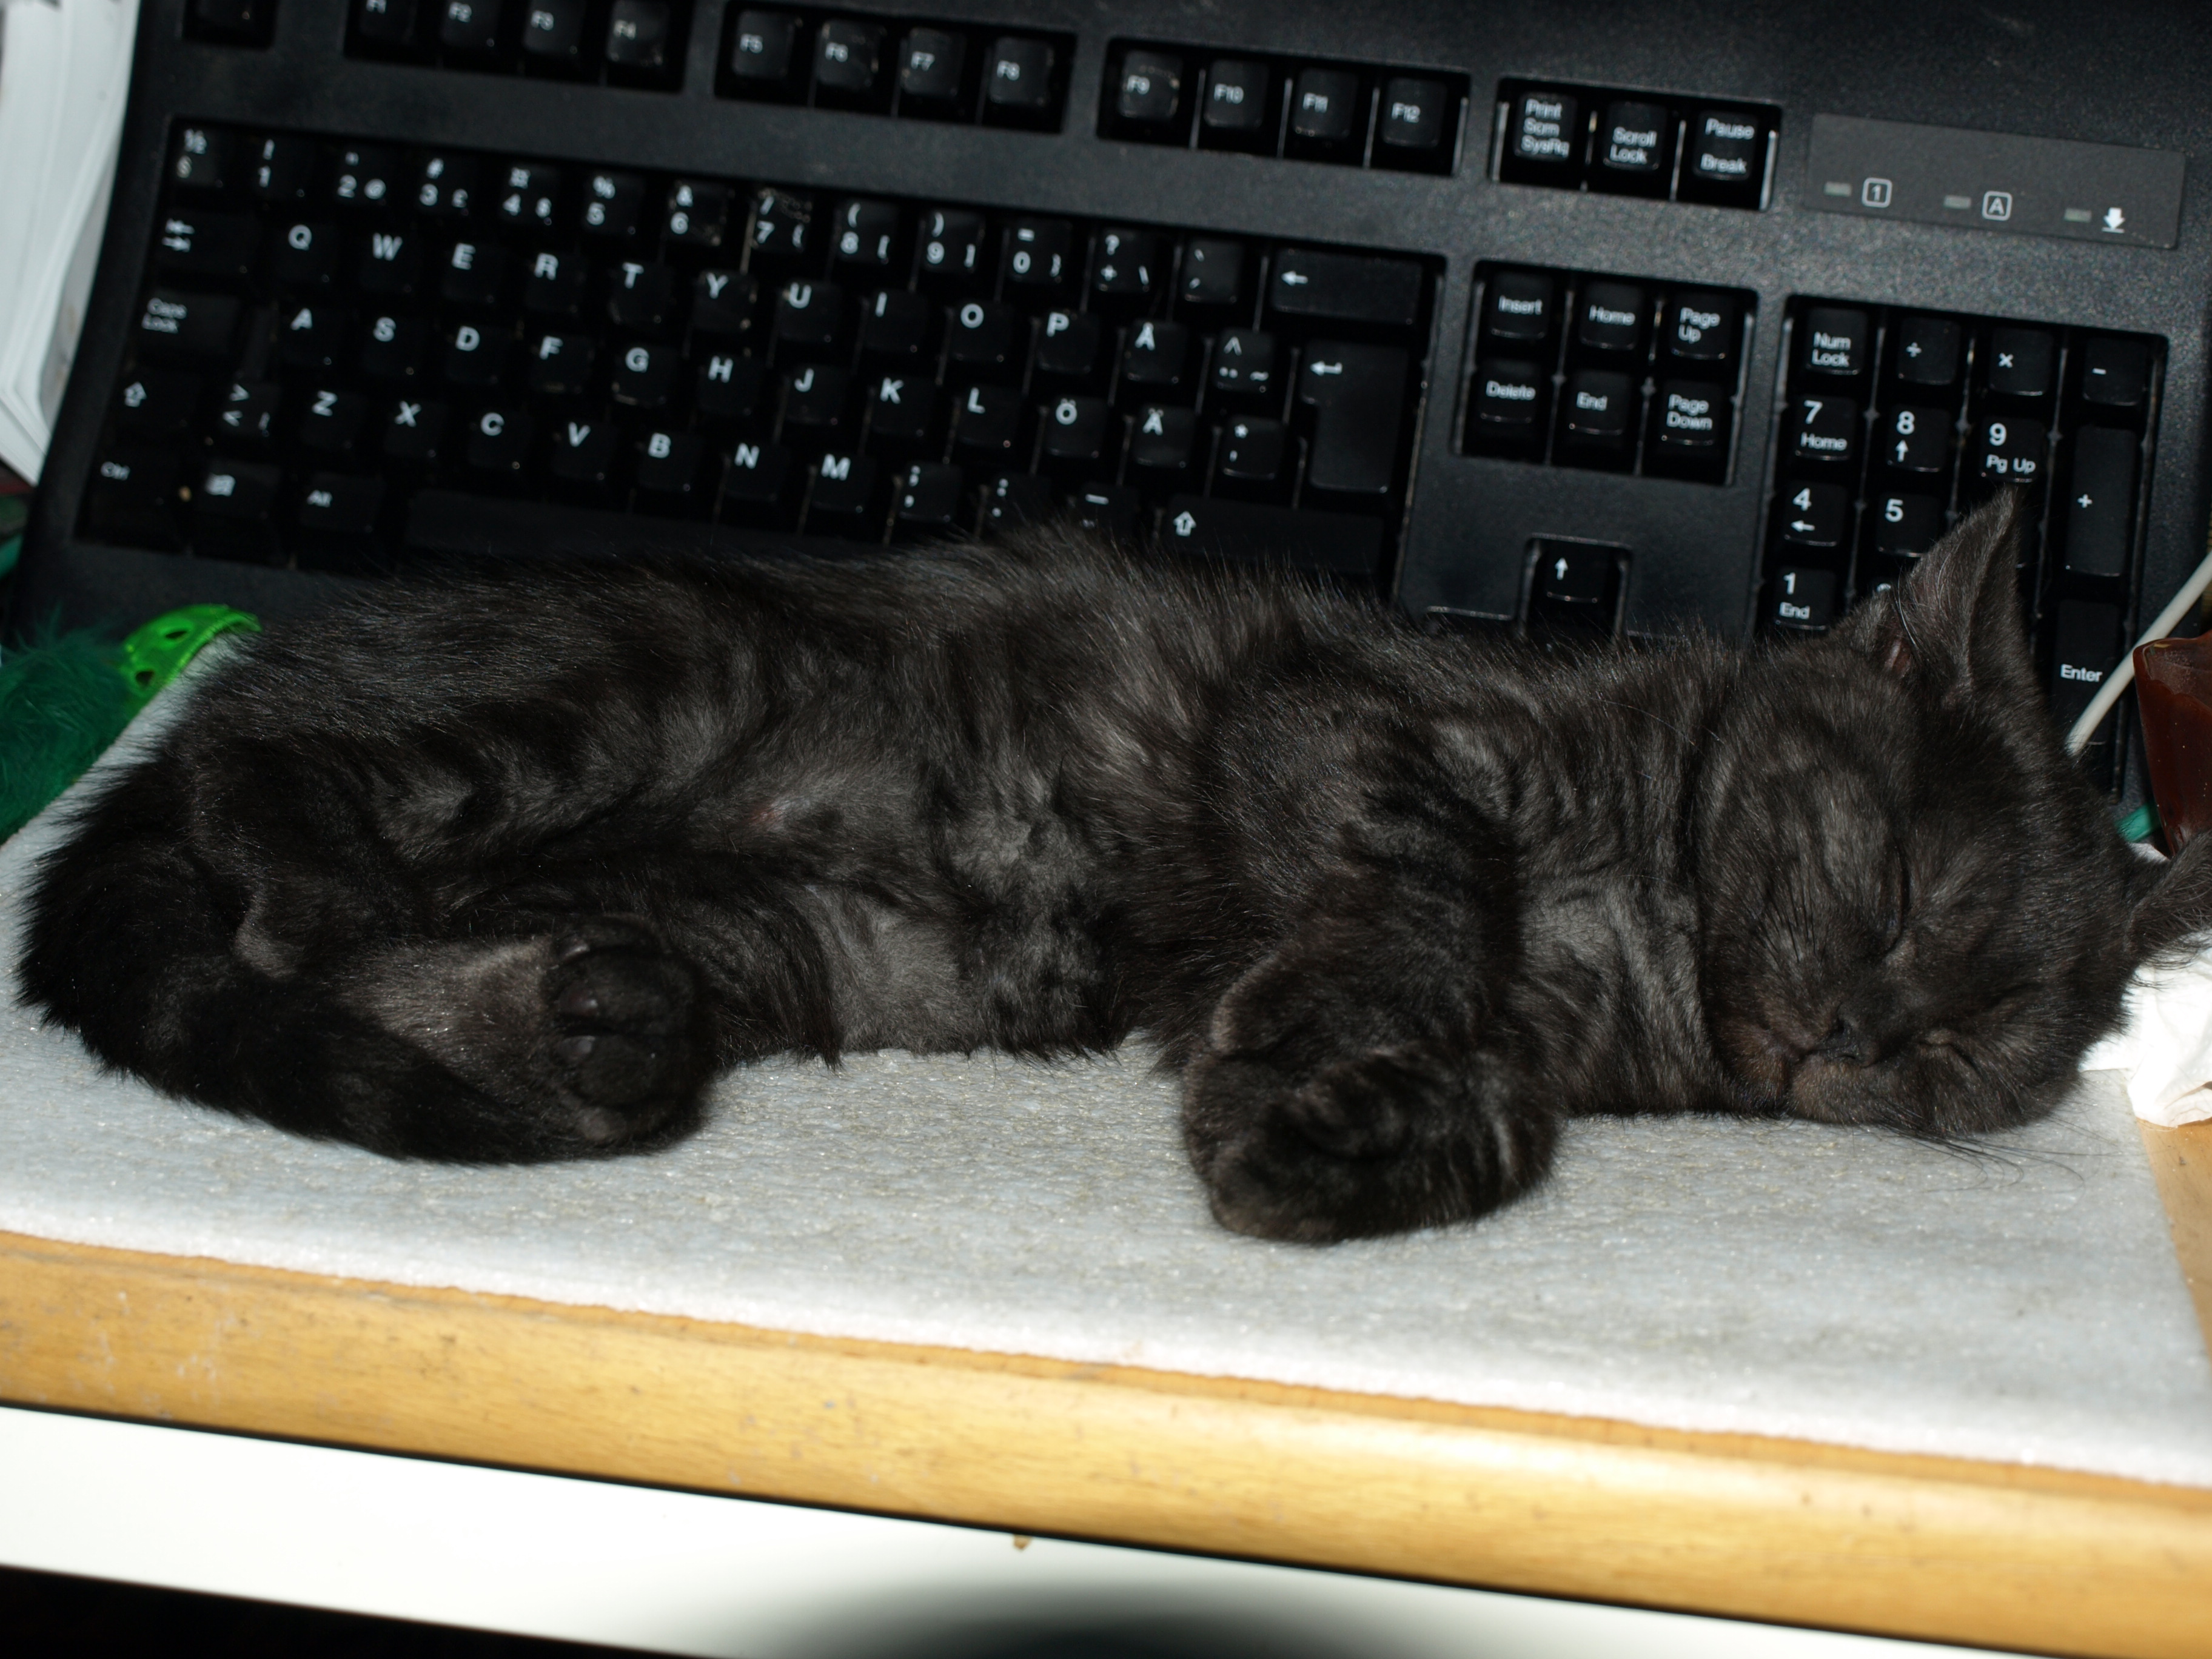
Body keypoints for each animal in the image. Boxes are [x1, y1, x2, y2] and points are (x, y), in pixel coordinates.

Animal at [19, 490, 2212, 1242]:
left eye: (1971, 1043)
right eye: (1904, 894)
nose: (1855, 1037)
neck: (1637, 930)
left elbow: (1490, 1105)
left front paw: (1332, 1143)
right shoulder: (1350, 722)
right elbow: (1426, 883)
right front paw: (1324, 1060)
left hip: (760, 937)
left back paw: (576, 1021)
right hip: (616, 692)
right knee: (268, 787)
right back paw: (321, 877)